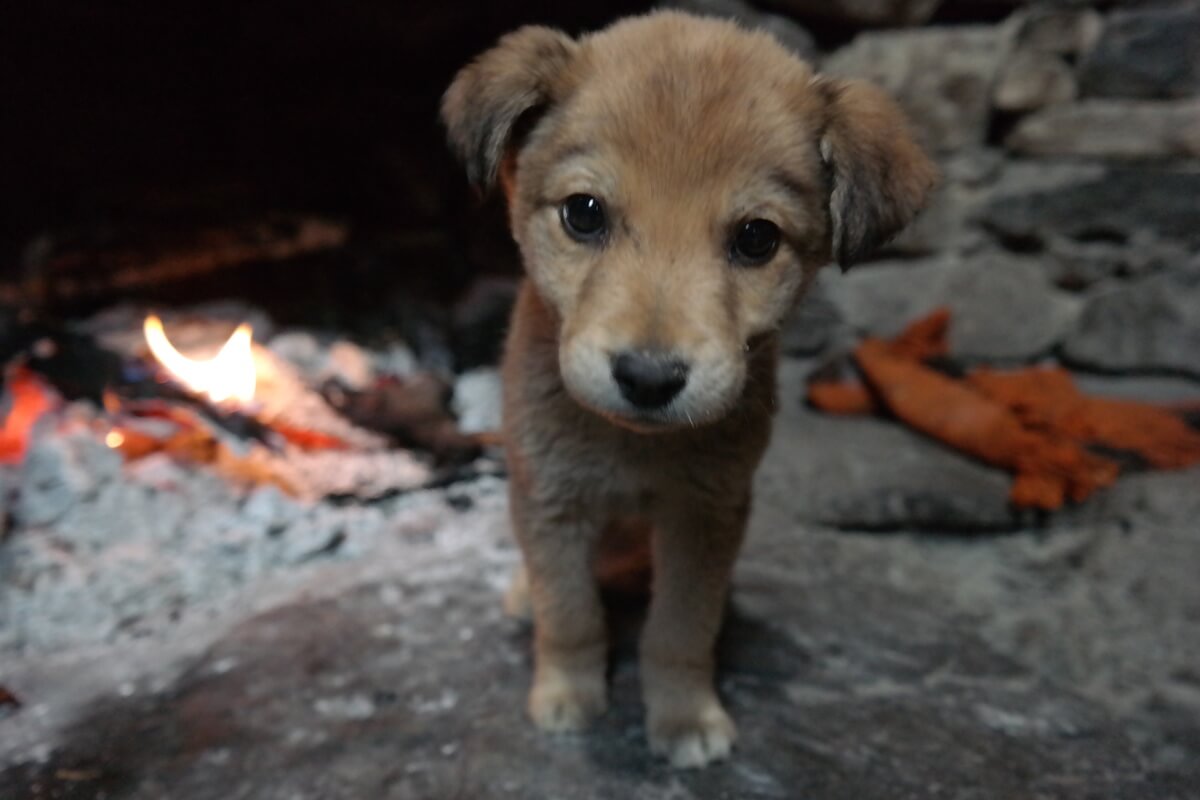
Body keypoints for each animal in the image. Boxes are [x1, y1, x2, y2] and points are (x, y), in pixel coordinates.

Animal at [441, 10, 936, 767]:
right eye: (584, 213)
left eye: (757, 238)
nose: (648, 377)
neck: (632, 449)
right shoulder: (552, 502)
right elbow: (571, 614)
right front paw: (567, 695)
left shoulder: (704, 516)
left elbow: (678, 631)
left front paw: (683, 717)